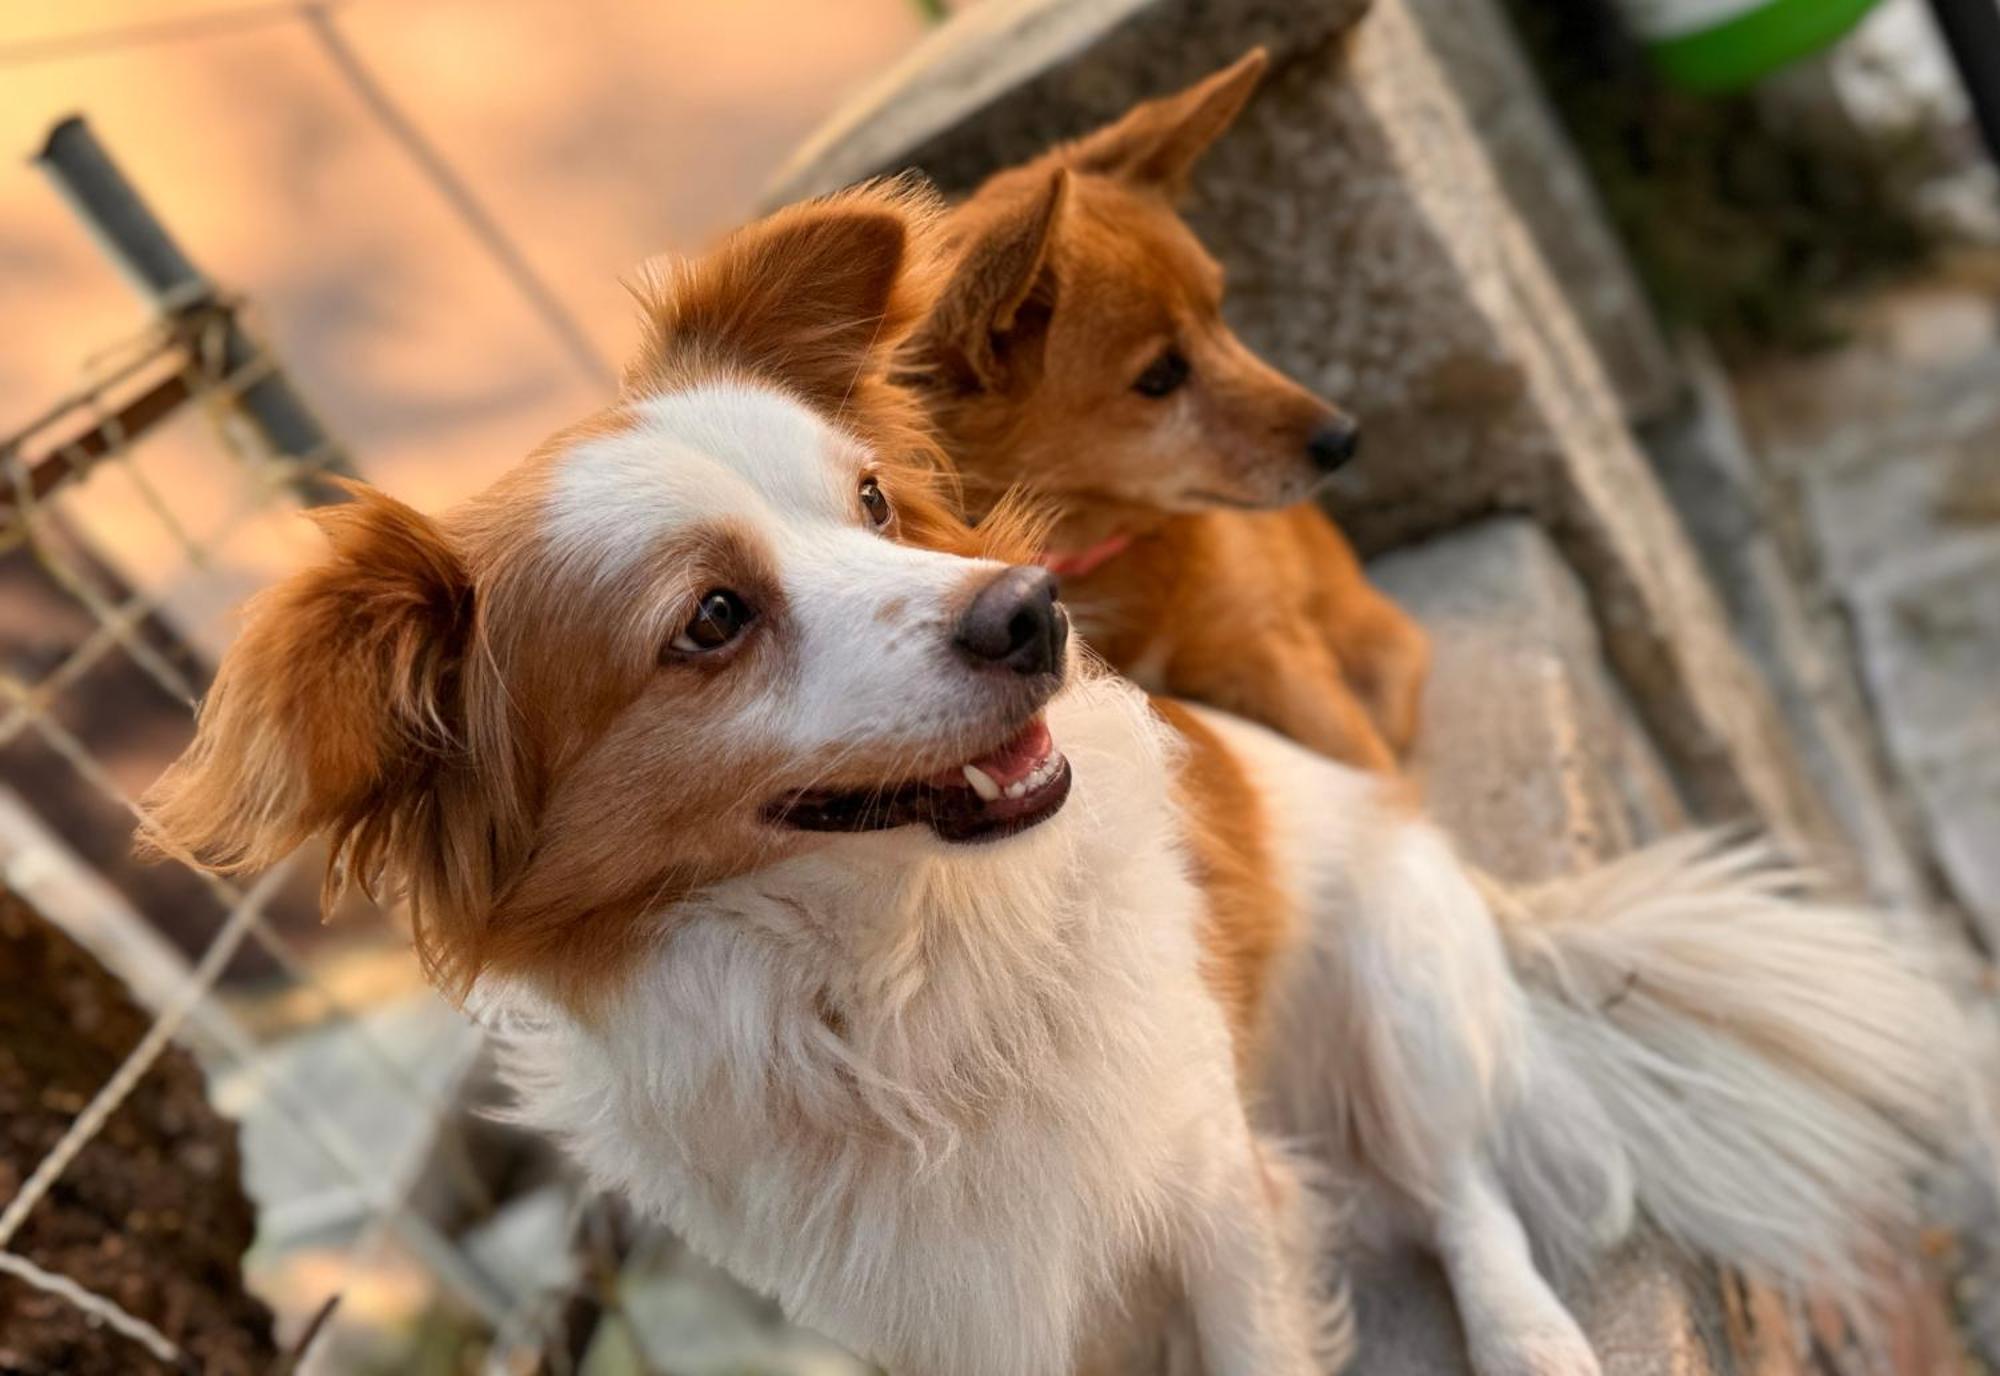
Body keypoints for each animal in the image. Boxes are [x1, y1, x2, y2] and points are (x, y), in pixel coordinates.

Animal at [148, 185, 1960, 1376]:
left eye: (876, 501)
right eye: (712, 621)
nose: (1029, 611)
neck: (888, 972)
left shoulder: (1208, 1180)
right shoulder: (940, 1303)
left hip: (1397, 987)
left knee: (1464, 1190)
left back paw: (1527, 1333)